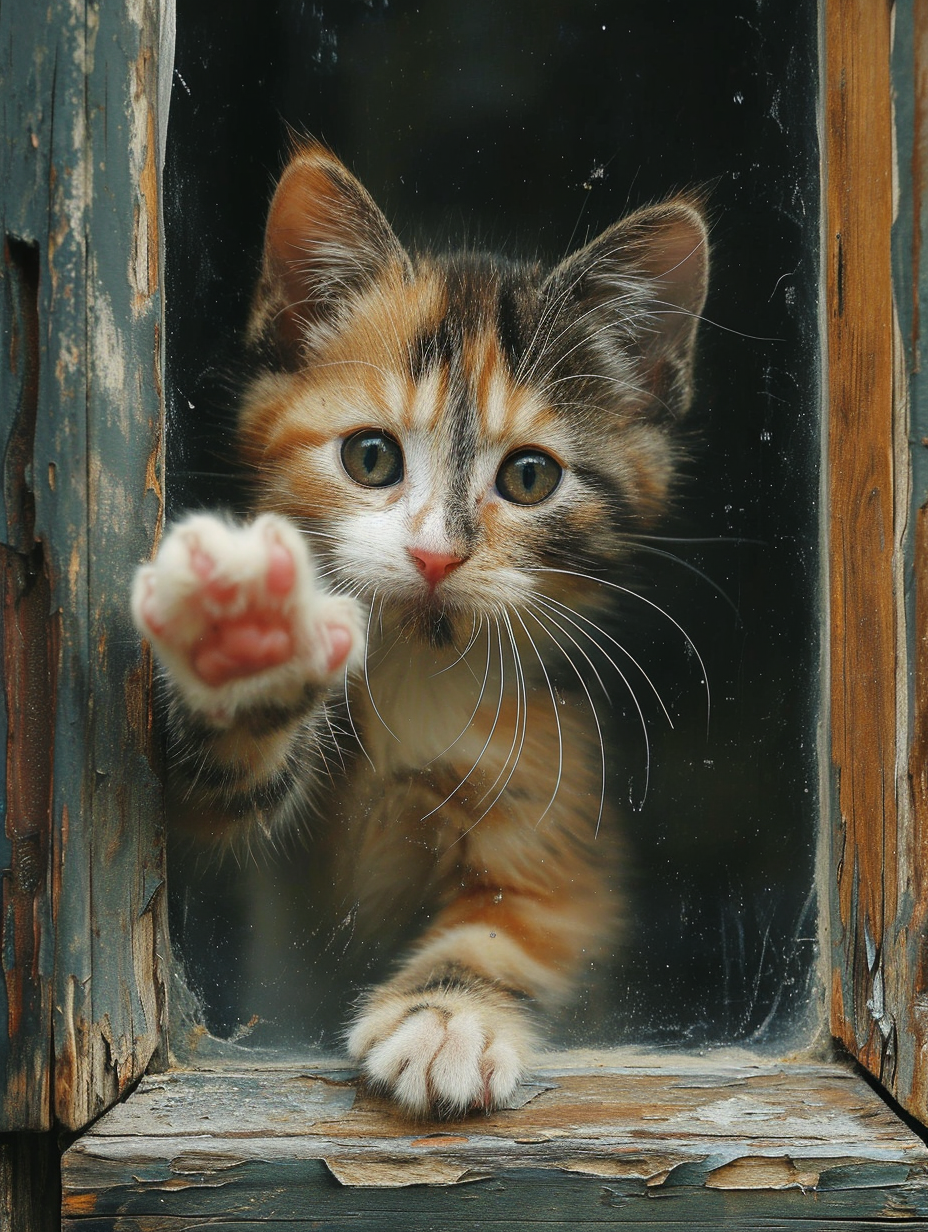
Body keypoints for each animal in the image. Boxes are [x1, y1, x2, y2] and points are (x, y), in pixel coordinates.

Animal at [133, 144, 704, 1118]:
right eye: (371, 457)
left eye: (528, 477)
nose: (438, 555)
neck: (418, 661)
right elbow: (212, 790)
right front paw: (245, 635)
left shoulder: (559, 804)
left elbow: (517, 926)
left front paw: (447, 1020)